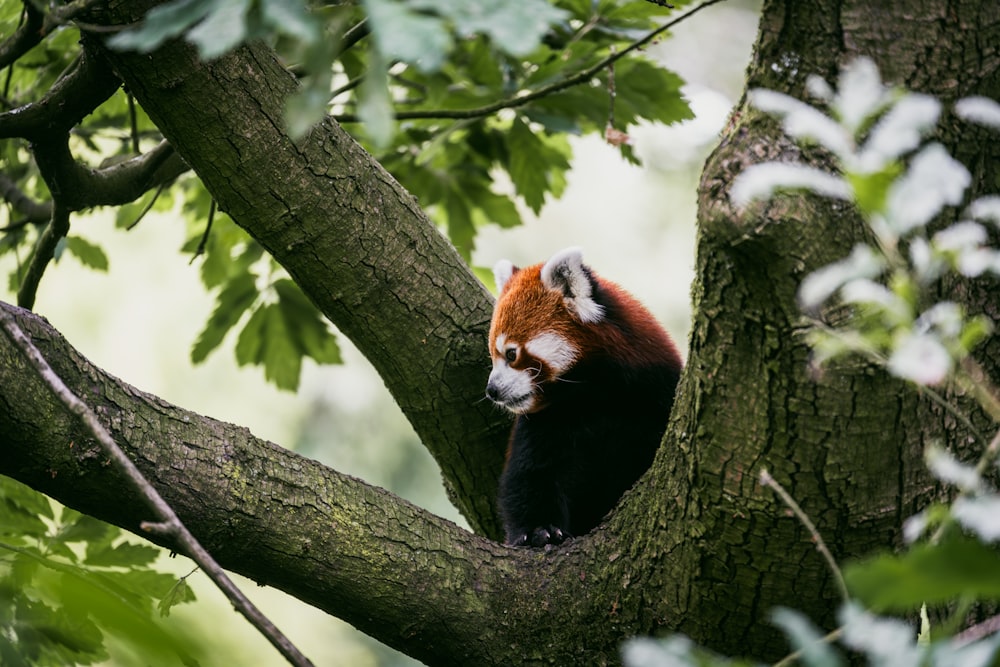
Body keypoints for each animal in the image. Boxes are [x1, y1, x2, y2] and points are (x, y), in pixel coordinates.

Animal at [482, 248, 680, 552]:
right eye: (493, 355)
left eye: (511, 354)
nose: (492, 390)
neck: (592, 397)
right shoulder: (546, 421)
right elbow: (529, 475)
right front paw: (540, 531)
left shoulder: (656, 392)